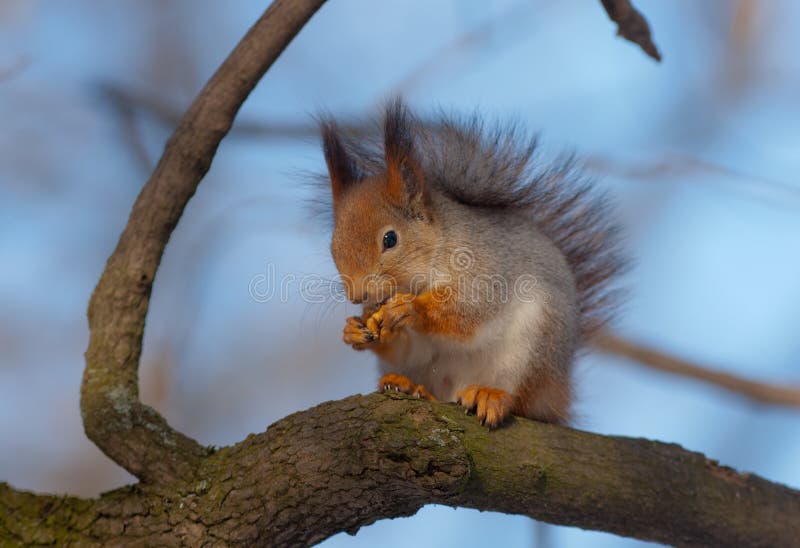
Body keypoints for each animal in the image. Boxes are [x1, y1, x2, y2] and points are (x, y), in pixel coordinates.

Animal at [319, 99, 623, 428]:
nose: (357, 296)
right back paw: (410, 386)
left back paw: (491, 396)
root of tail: (558, 395)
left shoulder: (486, 269)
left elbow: (470, 311)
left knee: (522, 401)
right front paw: (354, 329)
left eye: (390, 239)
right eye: (332, 246)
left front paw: (410, 308)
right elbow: (405, 349)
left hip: (535, 347)